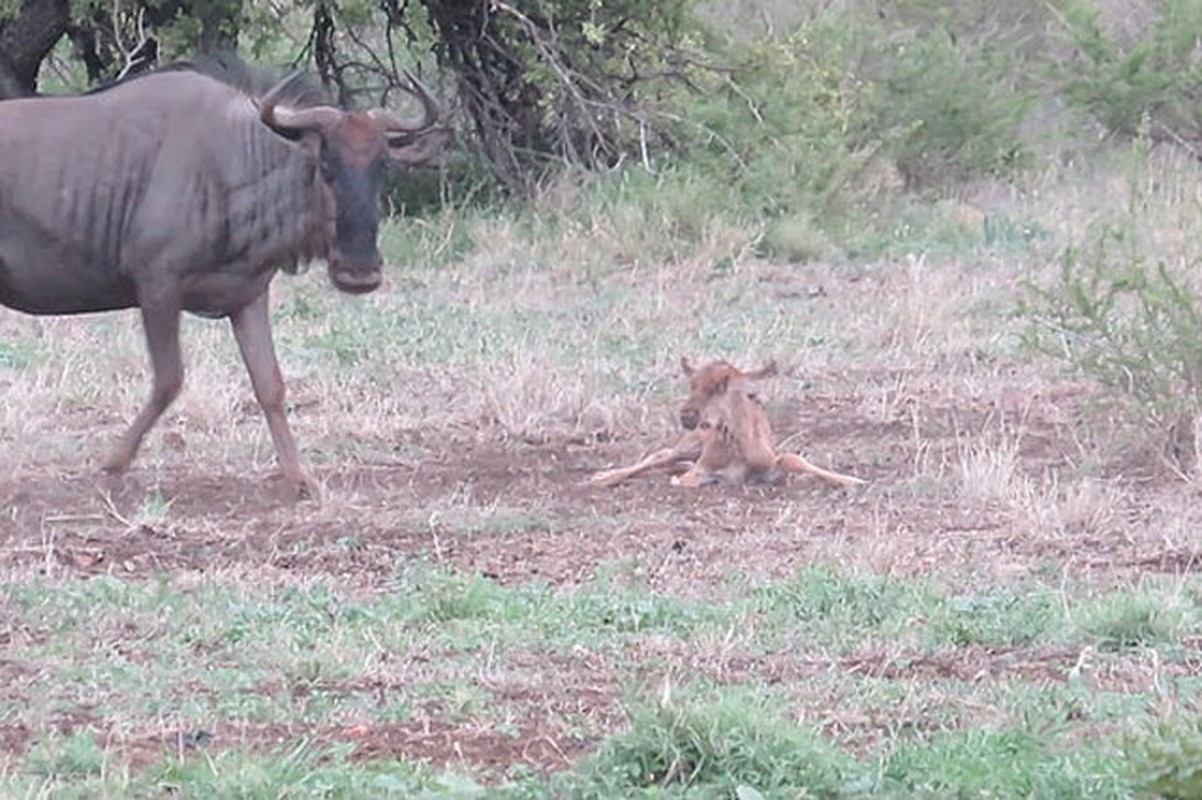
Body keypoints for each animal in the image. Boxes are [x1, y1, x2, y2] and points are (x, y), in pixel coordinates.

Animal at [588, 355, 865, 485]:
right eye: (691, 384)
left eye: (721, 386)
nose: (687, 415)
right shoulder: (702, 466)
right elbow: (689, 478)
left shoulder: (772, 464)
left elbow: (793, 459)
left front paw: (853, 480)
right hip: (689, 445)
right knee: (661, 455)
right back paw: (603, 477)